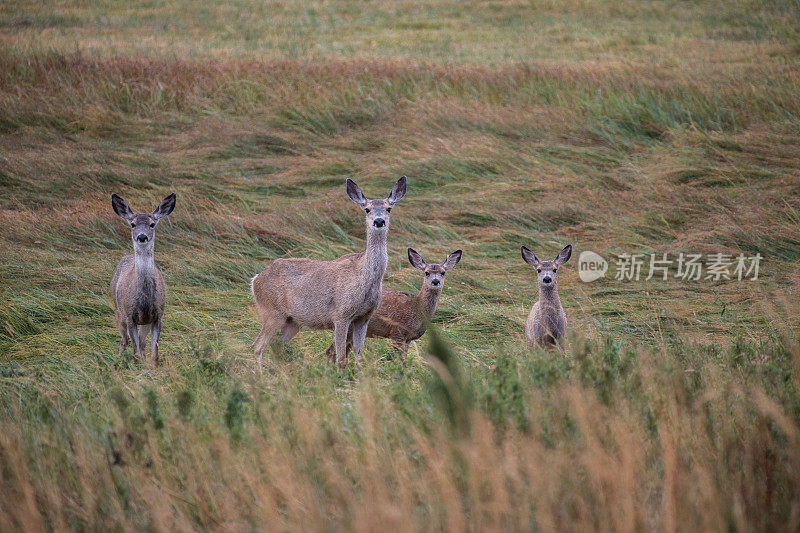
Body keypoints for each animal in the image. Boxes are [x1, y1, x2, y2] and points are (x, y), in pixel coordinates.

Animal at [109, 193, 177, 364]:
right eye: (132, 224)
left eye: (152, 224)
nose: (141, 236)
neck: (144, 300)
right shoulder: (130, 316)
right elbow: (135, 351)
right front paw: (136, 366)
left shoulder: (157, 316)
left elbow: (154, 353)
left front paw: (152, 366)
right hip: (118, 310)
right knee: (124, 340)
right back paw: (119, 360)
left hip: (143, 322)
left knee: (142, 342)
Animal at [250, 175, 406, 370]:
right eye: (367, 209)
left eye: (389, 208)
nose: (378, 221)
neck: (364, 278)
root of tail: (255, 280)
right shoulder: (340, 314)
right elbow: (341, 357)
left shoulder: (364, 317)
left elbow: (359, 356)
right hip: (272, 311)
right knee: (257, 346)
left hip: (291, 321)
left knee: (275, 346)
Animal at [324, 246, 462, 364]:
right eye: (426, 272)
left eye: (443, 272)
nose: (435, 281)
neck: (416, 308)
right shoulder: (397, 332)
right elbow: (401, 362)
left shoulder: (409, 339)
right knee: (332, 351)